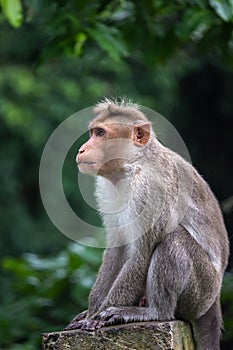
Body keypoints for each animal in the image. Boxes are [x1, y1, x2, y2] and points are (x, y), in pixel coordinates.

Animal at [65, 96, 229, 350]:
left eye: (100, 133)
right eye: (93, 132)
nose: (82, 149)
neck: (133, 164)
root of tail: (215, 300)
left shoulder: (151, 191)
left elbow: (141, 253)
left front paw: (97, 317)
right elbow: (117, 249)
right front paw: (91, 312)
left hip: (201, 293)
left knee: (173, 240)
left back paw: (155, 311)